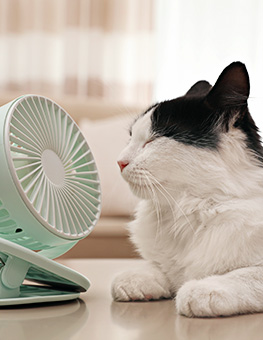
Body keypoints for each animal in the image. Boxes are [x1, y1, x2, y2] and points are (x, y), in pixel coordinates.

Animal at [111, 61, 263, 318]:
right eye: (131, 138)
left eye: (153, 139)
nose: (120, 162)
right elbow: (159, 268)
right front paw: (139, 279)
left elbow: (246, 274)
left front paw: (203, 289)